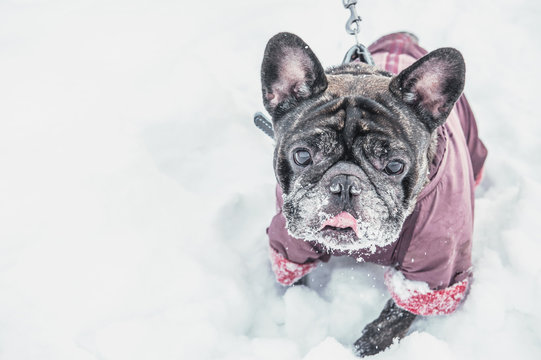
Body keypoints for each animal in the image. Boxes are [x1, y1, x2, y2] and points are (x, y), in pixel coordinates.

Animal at [260, 32, 488, 356]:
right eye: (302, 156)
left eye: (394, 165)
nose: (344, 183)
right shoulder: (289, 243)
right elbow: (293, 275)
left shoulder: (436, 268)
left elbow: (399, 313)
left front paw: (367, 346)